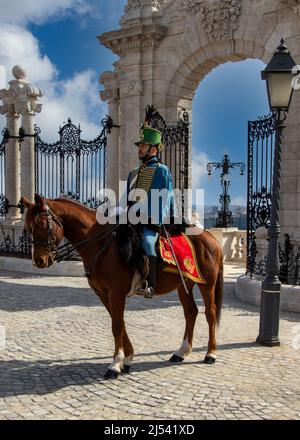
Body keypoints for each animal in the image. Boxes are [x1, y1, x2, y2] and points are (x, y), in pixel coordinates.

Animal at [20, 194, 223, 380]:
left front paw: (115, 364)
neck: (100, 243)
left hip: (207, 284)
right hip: (184, 283)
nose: (39, 261)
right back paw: (181, 351)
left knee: (210, 313)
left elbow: (116, 325)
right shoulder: (103, 294)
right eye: (28, 228)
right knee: (191, 312)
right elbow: (119, 322)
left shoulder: (116, 292)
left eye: (42, 225)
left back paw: (210, 353)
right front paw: (128, 358)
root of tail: (209, 236)